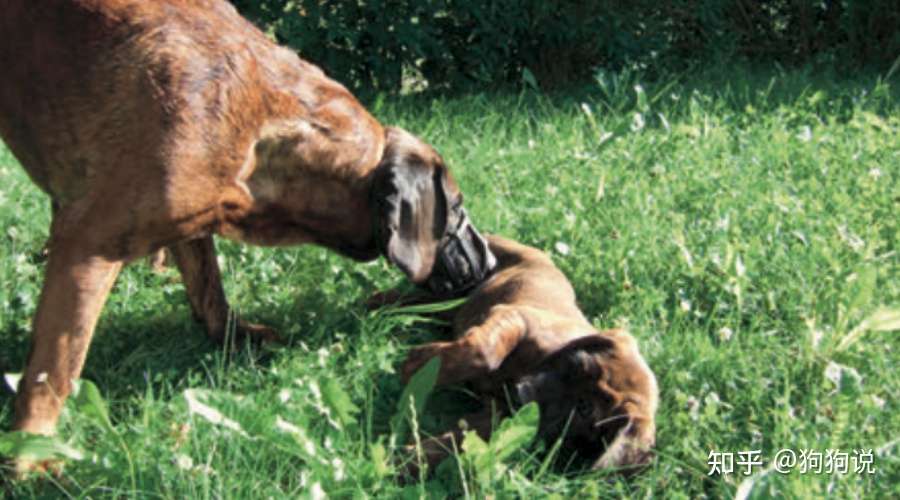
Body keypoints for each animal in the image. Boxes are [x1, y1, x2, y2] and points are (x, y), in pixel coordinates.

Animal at [0, 0, 496, 448]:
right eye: (455, 208)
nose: (491, 263)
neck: (265, 134)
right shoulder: (88, 246)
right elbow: (56, 364)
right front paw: (33, 449)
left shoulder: (190, 221)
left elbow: (209, 288)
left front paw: (232, 337)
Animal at [370, 235, 656, 476]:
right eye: (577, 365)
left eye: (585, 409)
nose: (521, 392)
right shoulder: (514, 317)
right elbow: (485, 351)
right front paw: (422, 364)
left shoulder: (499, 416)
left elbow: (455, 441)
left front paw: (409, 461)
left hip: (447, 308)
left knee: (422, 301)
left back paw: (381, 303)